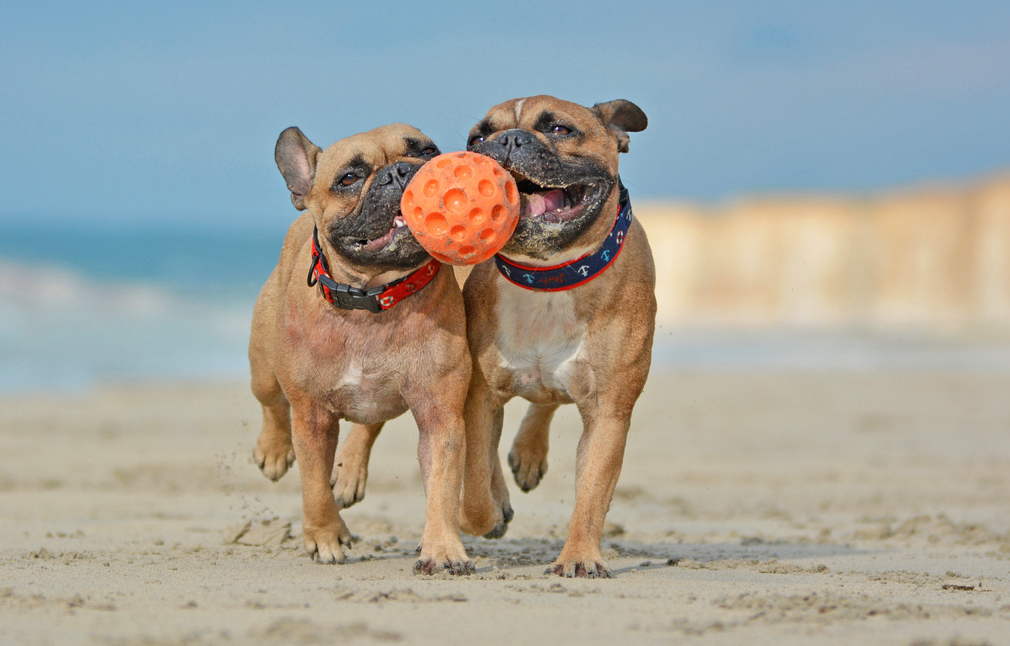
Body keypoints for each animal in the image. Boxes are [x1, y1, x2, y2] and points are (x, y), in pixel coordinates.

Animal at [458, 94, 654, 573]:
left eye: (560, 129)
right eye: (476, 139)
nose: (508, 139)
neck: (548, 277)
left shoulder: (608, 410)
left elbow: (593, 491)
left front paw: (580, 557)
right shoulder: (478, 397)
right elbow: (474, 487)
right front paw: (489, 512)